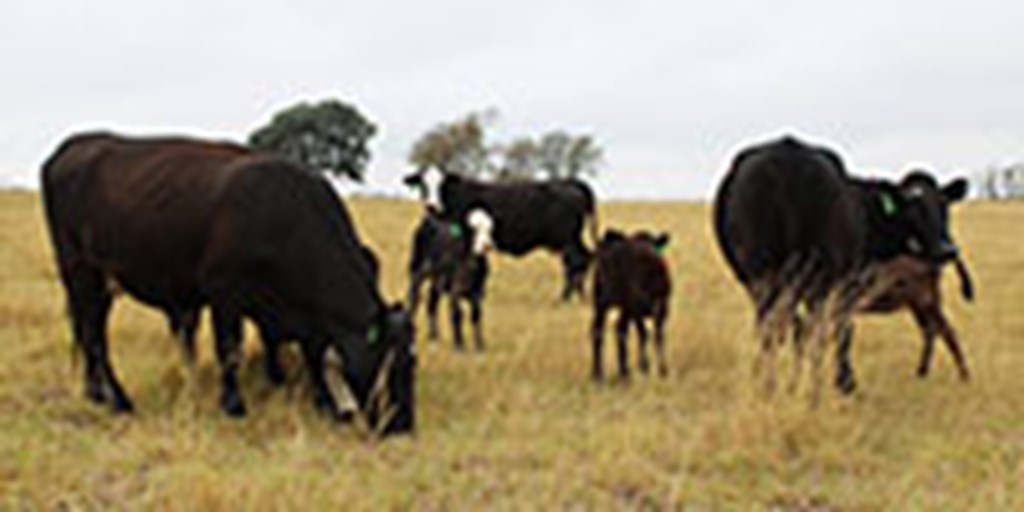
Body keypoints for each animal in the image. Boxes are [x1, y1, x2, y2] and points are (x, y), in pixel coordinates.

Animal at [39, 132, 415, 436]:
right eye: (387, 363)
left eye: (411, 362)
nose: (402, 427)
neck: (283, 214)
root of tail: (72, 146)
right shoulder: (225, 296)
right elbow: (231, 351)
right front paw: (234, 405)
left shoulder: (298, 315)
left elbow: (312, 355)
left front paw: (322, 403)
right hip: (81, 272)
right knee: (94, 336)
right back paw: (118, 400)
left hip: (99, 284)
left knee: (89, 332)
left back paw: (95, 393)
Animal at [401, 169, 598, 299]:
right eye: (423, 185)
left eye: (442, 186)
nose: (431, 205)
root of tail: (569, 182)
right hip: (573, 238)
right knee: (584, 258)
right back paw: (578, 296)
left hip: (566, 240)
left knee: (575, 262)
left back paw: (564, 298)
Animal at [405, 206, 493, 348]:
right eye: (472, 229)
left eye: (490, 229)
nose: (487, 246)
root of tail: (432, 217)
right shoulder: (455, 290)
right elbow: (457, 313)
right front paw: (459, 344)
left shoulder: (478, 292)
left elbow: (476, 315)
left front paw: (480, 344)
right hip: (417, 269)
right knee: (415, 297)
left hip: (437, 280)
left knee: (432, 304)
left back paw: (433, 336)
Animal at [589, 228, 675, 380]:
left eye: (653, 242)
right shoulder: (645, 306)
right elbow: (648, 334)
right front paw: (650, 367)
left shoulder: (656, 307)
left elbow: (653, 334)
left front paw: (655, 368)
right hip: (616, 302)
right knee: (612, 330)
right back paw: (618, 373)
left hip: (607, 303)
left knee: (605, 330)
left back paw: (605, 375)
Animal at [712, 137, 966, 399]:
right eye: (912, 210)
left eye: (943, 206)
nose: (947, 250)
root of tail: (782, 155)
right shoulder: (848, 283)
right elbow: (844, 330)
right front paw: (846, 384)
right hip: (815, 281)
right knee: (812, 331)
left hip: (763, 280)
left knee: (774, 329)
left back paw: (769, 384)